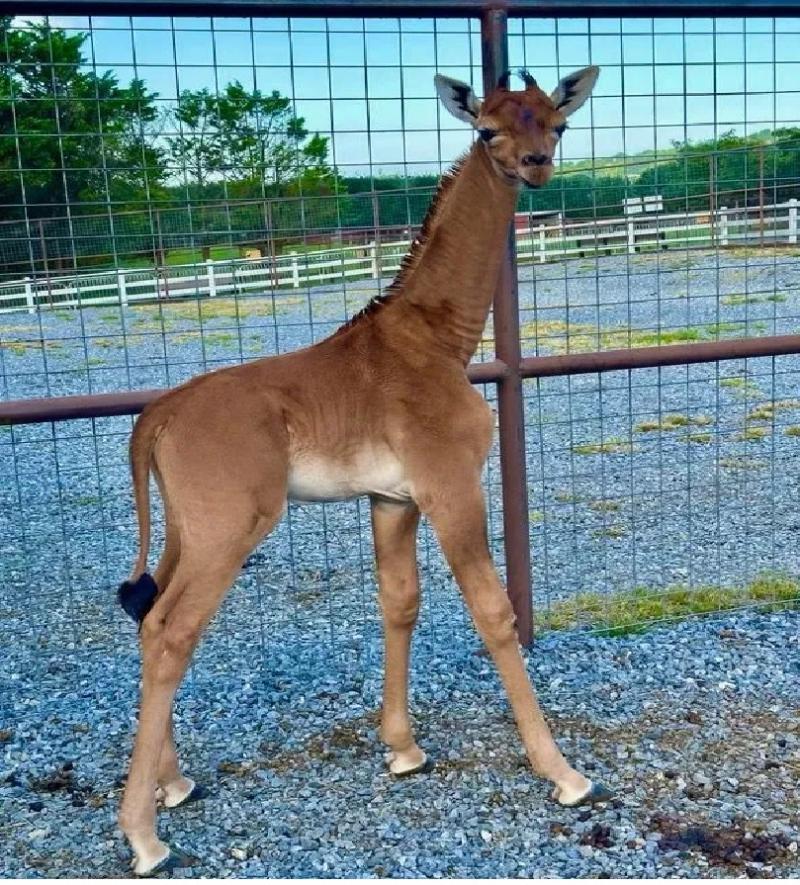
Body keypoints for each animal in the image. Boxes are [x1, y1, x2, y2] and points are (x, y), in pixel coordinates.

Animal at [117, 66, 607, 876]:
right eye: (487, 130)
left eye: (557, 123)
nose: (535, 166)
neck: (439, 339)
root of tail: (157, 416)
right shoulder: (451, 485)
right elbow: (494, 611)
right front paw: (563, 772)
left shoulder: (391, 497)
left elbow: (399, 602)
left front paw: (403, 748)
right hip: (231, 526)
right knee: (169, 628)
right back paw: (144, 835)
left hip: (187, 526)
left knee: (144, 610)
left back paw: (173, 782)